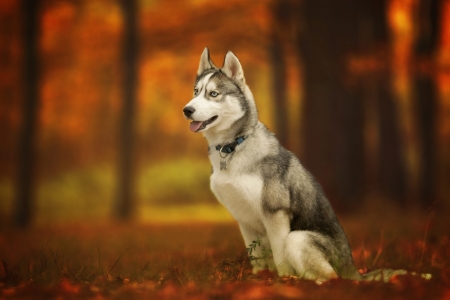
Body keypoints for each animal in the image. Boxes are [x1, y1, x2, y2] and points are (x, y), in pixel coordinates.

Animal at [183, 48, 400, 282]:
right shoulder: (244, 221)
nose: (187, 110)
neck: (233, 147)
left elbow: (280, 257)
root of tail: (353, 270)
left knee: (330, 277)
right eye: (196, 92)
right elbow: (256, 258)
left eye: (213, 94)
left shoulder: (276, 214)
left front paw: (283, 281)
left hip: (298, 239)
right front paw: (260, 278)